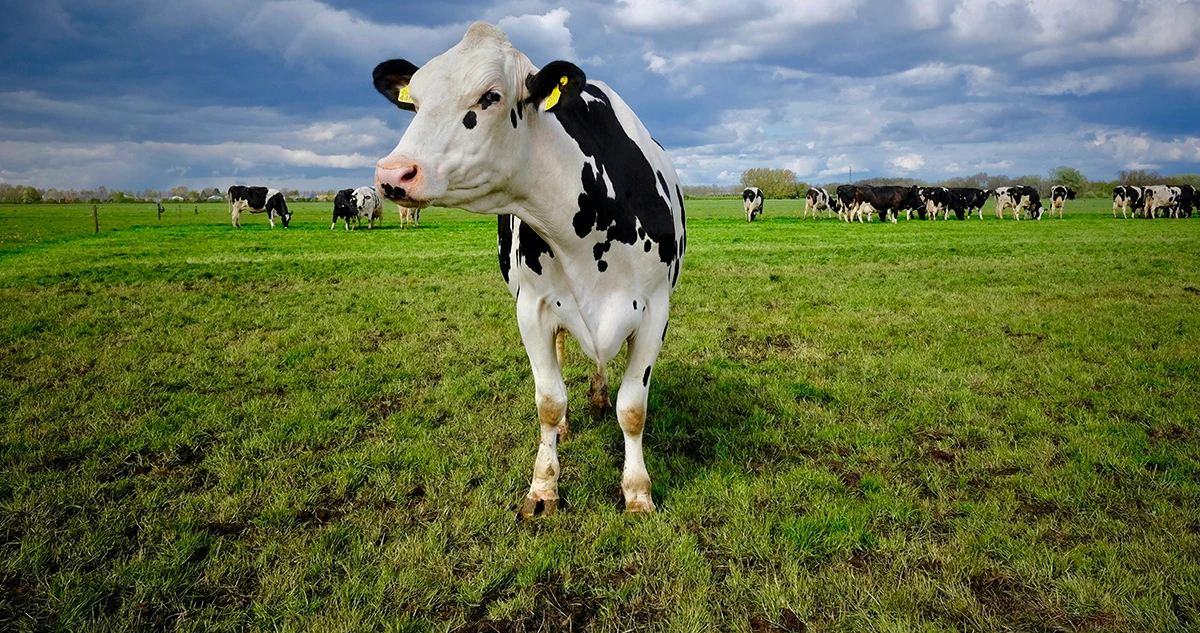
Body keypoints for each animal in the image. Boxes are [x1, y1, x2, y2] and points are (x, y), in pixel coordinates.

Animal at [371, 22, 686, 516]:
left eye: (490, 96)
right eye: (415, 101)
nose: (393, 174)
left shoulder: (656, 310)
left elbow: (633, 408)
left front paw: (637, 492)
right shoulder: (533, 309)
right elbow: (549, 401)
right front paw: (543, 489)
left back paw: (598, 397)